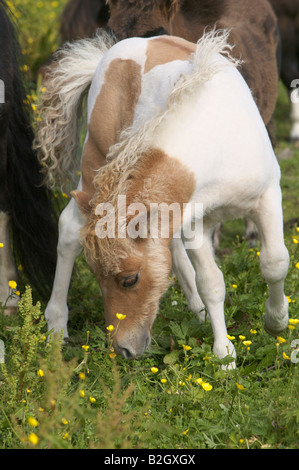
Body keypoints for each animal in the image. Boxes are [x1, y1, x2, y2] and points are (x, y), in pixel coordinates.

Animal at [35, 30, 290, 368]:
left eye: (130, 279)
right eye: (97, 277)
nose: (123, 349)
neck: (215, 140)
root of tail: (109, 53)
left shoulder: (267, 195)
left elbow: (275, 262)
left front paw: (276, 321)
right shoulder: (195, 220)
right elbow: (212, 282)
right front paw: (225, 355)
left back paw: (198, 312)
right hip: (94, 162)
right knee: (68, 228)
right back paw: (56, 327)